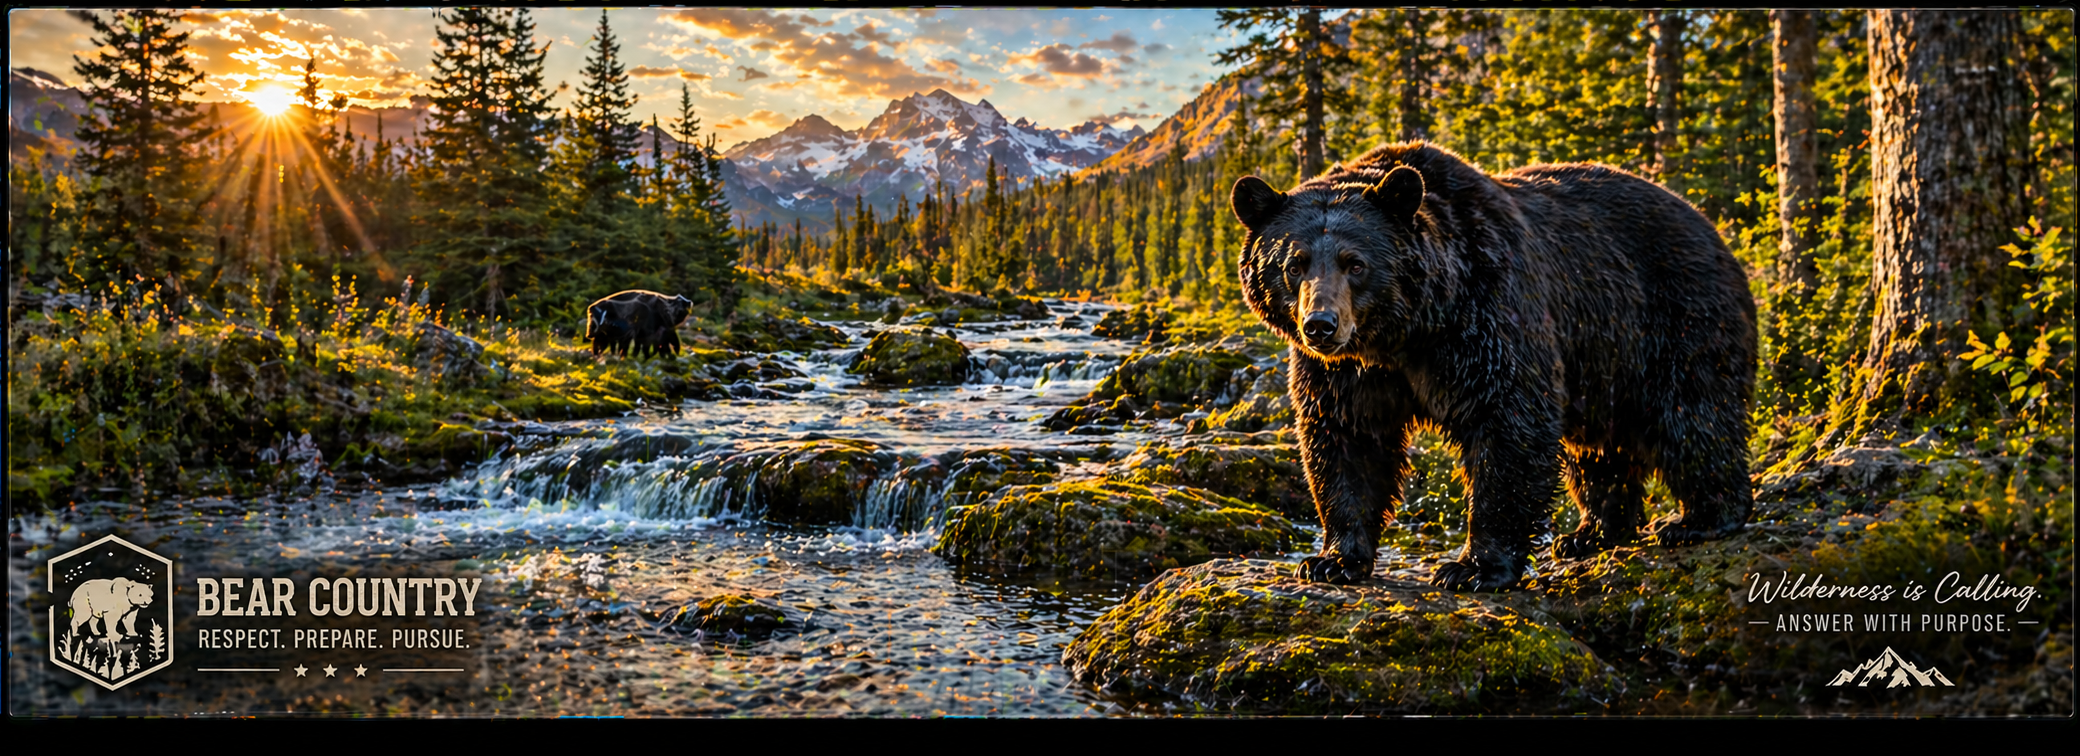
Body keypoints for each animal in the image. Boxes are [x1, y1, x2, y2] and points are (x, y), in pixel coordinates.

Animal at [1231, 141, 1756, 591]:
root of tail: (1708, 225)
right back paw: (1590, 533)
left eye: (1355, 263)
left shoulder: (1487, 314)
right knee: (1599, 450)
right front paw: (1333, 559)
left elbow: (1509, 422)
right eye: (1293, 263)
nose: (1321, 324)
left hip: (1670, 317)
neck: (1407, 331)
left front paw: (1474, 567)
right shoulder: (1347, 372)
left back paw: (1700, 520)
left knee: (1693, 416)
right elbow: (1346, 438)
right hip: (1604, 366)